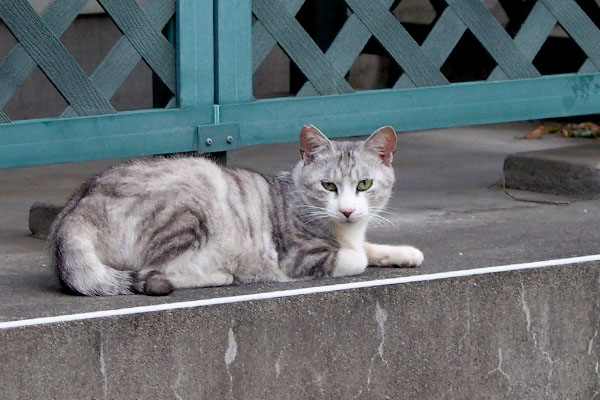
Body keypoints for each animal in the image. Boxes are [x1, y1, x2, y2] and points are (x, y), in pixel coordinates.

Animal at [49, 126, 424, 296]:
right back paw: (222, 274)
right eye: (328, 186)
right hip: (193, 199)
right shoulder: (299, 258)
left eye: (364, 185)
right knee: (157, 270)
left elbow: (368, 247)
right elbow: (356, 258)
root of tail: (71, 214)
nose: (346, 210)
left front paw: (405, 253)